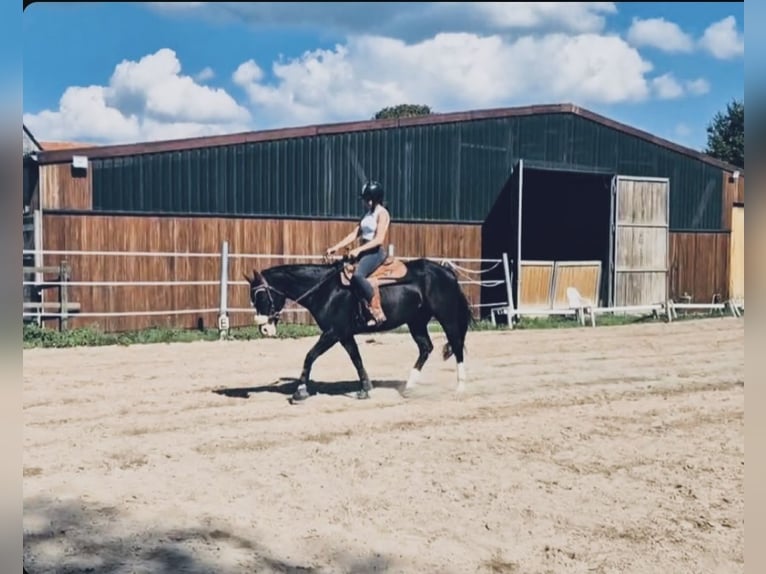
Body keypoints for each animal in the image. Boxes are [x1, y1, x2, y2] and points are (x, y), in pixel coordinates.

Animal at [248, 256, 474, 404]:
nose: (264, 329)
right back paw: (409, 387)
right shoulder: (344, 335)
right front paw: (365, 389)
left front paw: (300, 391)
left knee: (457, 345)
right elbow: (356, 359)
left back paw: (460, 388)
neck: (327, 289)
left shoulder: (333, 332)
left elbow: (310, 356)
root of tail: (447, 272)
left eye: (262, 297)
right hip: (416, 322)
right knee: (426, 348)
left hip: (447, 317)